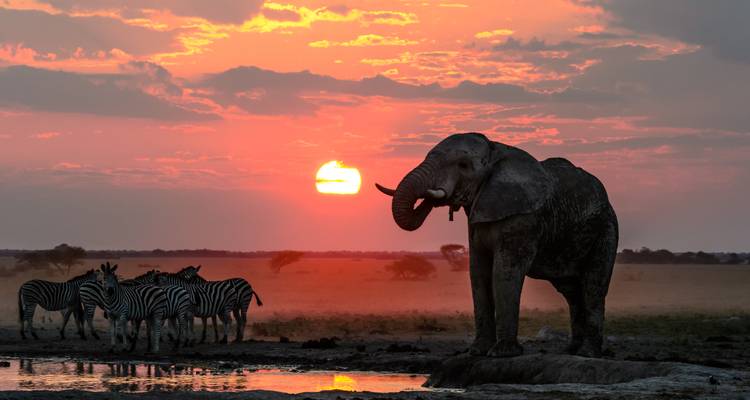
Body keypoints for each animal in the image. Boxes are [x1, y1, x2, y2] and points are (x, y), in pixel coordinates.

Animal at [376, 132, 618, 358]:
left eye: (463, 165)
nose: (435, 197)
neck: (496, 151)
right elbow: (478, 272)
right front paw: (477, 351)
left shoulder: (523, 218)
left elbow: (503, 272)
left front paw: (502, 353)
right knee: (571, 290)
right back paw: (571, 350)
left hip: (606, 229)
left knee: (593, 285)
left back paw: (587, 353)